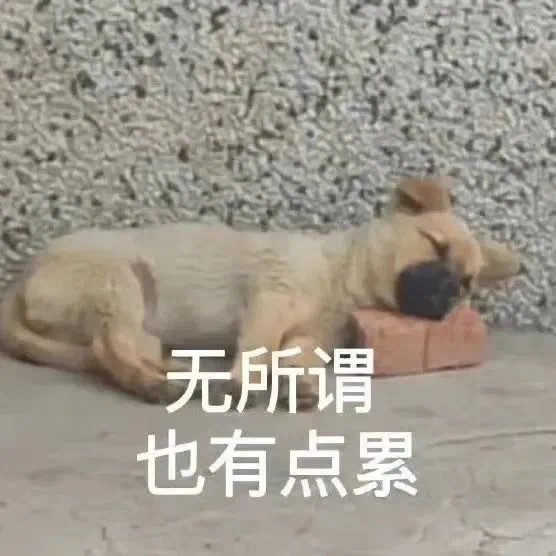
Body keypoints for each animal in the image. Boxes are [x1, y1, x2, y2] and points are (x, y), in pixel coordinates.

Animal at [0, 177, 522, 410]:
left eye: (468, 283)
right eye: (435, 245)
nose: (450, 292)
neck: (339, 279)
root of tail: (22, 280)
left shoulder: (307, 337)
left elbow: (293, 357)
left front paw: (295, 383)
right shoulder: (273, 297)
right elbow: (257, 349)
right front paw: (250, 383)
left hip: (139, 317)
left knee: (113, 349)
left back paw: (175, 373)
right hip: (120, 283)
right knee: (111, 347)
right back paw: (153, 384)